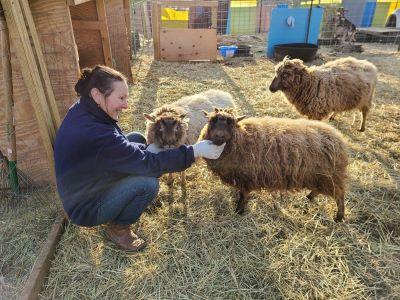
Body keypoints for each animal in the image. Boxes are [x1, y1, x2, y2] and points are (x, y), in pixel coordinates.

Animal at [199, 108, 346, 223]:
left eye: (231, 123)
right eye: (211, 121)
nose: (219, 136)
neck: (242, 138)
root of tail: (339, 139)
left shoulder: (247, 178)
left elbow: (244, 195)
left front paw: (239, 210)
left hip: (331, 177)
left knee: (339, 196)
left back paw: (338, 217)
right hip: (320, 177)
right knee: (318, 190)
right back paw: (309, 197)